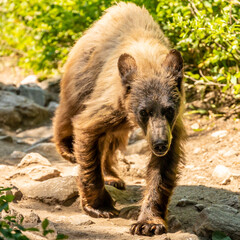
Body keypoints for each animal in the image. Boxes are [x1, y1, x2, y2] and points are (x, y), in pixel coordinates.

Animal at [53, 1, 187, 236]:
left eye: (168, 109)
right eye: (144, 111)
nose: (160, 144)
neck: (149, 62)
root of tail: (117, 8)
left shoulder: (172, 125)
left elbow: (162, 169)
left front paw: (149, 222)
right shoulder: (112, 102)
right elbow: (88, 130)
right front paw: (100, 206)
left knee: (111, 140)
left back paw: (112, 177)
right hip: (84, 74)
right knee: (71, 108)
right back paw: (67, 148)